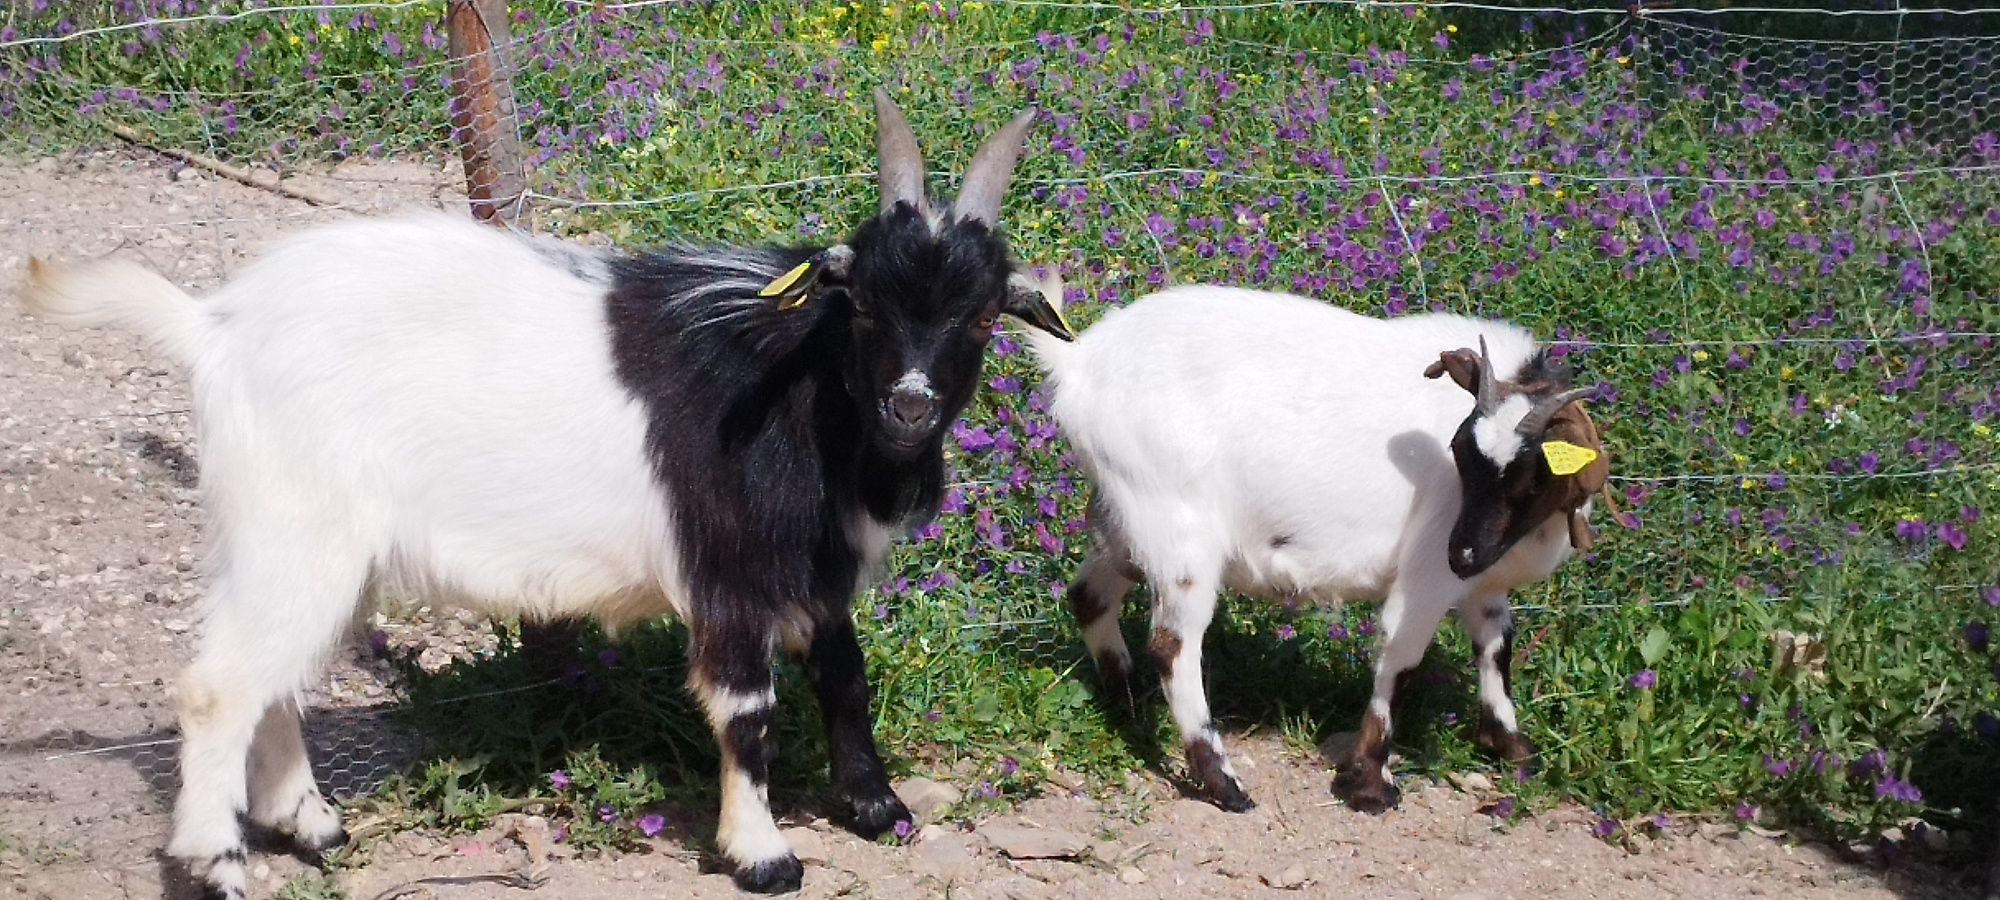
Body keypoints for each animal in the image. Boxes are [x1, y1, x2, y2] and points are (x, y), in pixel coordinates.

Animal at [19, 89, 1080, 892]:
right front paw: (764, 855)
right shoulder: (731, 570)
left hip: (319, 550)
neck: (795, 387)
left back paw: (314, 828)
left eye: (984, 316)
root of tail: (213, 327)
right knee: (218, 687)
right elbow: (748, 709)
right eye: (858, 304)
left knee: (274, 674)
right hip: (291, 525)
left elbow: (844, 676)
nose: (909, 407)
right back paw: (218, 864)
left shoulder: (813, 568)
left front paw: (877, 807)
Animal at [1032, 288, 1608, 816]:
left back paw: (1129, 705)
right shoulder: (1427, 572)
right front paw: (1370, 782)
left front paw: (1511, 745)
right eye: (1460, 451)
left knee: (1088, 596)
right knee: (1172, 645)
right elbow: (1401, 658)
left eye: (1533, 477)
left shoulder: (1484, 585)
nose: (1462, 553)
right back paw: (1224, 784)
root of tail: (1080, 362)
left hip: (1125, 527)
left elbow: (1496, 647)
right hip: (1179, 530)